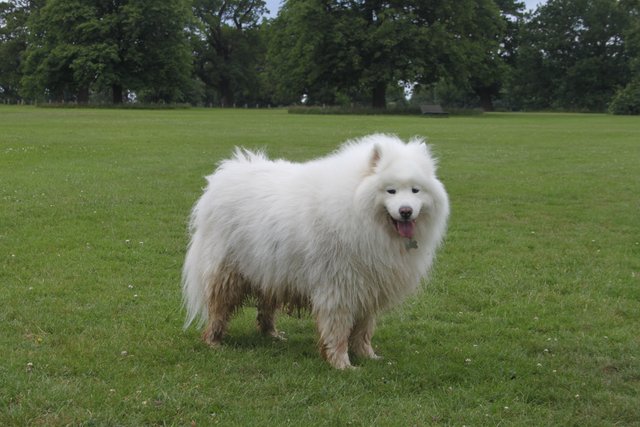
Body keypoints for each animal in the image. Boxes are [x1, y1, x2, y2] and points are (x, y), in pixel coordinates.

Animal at [181, 135, 450, 370]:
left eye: (415, 190)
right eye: (391, 191)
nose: (406, 211)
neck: (358, 211)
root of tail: (223, 176)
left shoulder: (368, 286)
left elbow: (363, 329)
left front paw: (368, 356)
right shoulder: (338, 288)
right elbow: (338, 330)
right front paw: (342, 364)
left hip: (270, 271)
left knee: (265, 308)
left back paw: (272, 335)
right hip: (228, 273)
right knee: (218, 309)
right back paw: (214, 341)